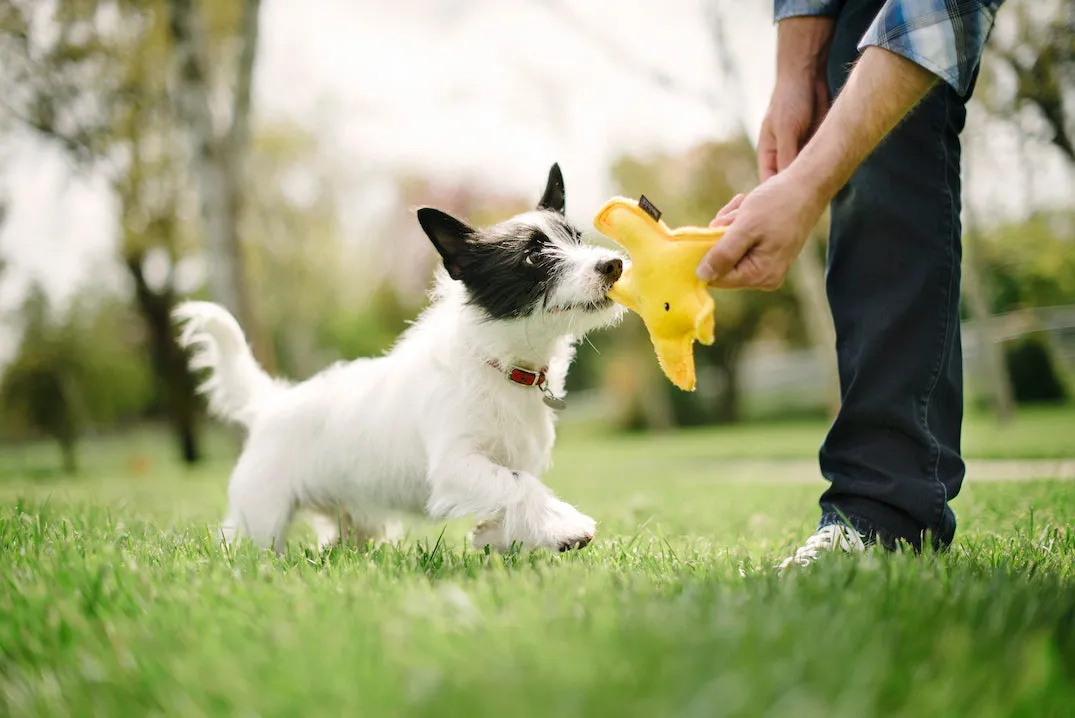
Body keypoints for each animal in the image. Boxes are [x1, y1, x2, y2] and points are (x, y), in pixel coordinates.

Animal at [172, 164, 627, 554]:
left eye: (577, 238)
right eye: (534, 257)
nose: (614, 265)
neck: (502, 364)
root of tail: (270, 403)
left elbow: (515, 495)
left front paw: (495, 535)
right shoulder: (456, 463)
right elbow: (518, 486)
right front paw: (566, 528)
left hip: (353, 519)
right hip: (261, 519)